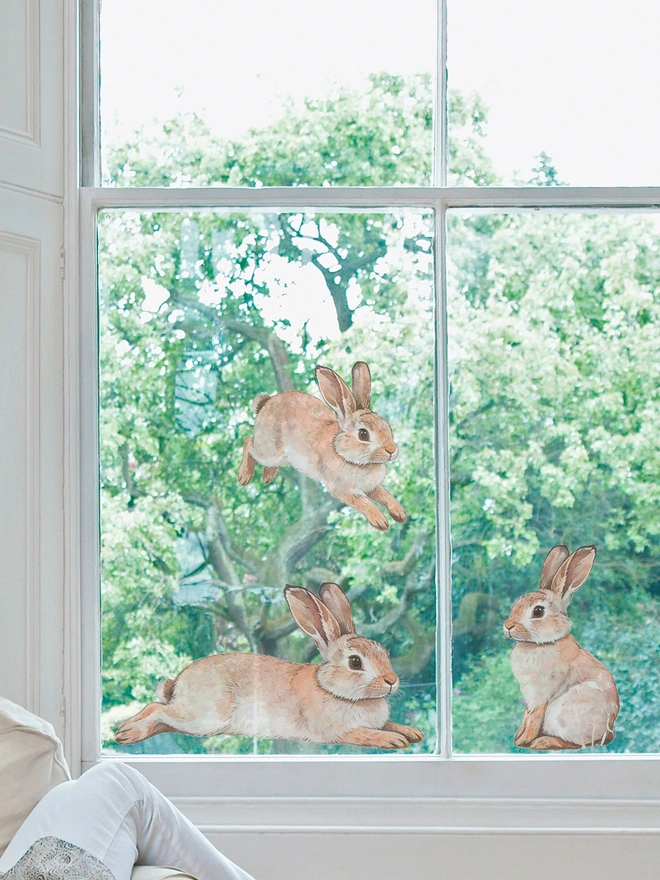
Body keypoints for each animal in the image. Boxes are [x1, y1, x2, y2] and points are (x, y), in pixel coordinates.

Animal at [115, 582, 424, 750]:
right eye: (355, 662)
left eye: (384, 651)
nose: (392, 681)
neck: (332, 689)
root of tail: (177, 685)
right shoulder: (336, 732)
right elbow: (365, 733)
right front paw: (393, 740)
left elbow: (390, 722)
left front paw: (412, 732)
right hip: (205, 717)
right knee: (158, 709)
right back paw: (127, 732)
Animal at [237, 361, 407, 531]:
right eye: (363, 434)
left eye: (388, 426)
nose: (391, 450)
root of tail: (265, 404)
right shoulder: (342, 490)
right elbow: (363, 502)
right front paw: (380, 521)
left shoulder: (373, 487)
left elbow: (385, 495)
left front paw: (400, 513)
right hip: (268, 450)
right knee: (248, 443)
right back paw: (244, 476)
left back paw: (267, 477)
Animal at [504, 544, 620, 750]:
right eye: (516, 603)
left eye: (538, 611)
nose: (508, 626)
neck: (542, 643)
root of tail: (608, 732)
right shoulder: (530, 696)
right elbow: (526, 715)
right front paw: (518, 737)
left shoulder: (541, 695)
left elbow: (534, 718)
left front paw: (523, 741)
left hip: (563, 712)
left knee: (577, 743)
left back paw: (543, 742)